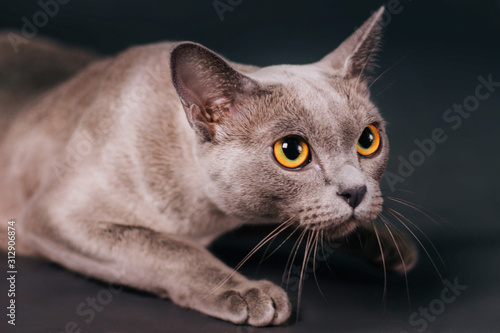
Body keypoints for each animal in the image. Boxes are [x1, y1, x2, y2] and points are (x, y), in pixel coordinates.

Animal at [0, 6, 418, 326]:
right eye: (292, 151)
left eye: (368, 140)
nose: (356, 191)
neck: (210, 217)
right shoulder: (54, 215)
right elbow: (170, 248)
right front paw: (248, 293)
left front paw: (392, 247)